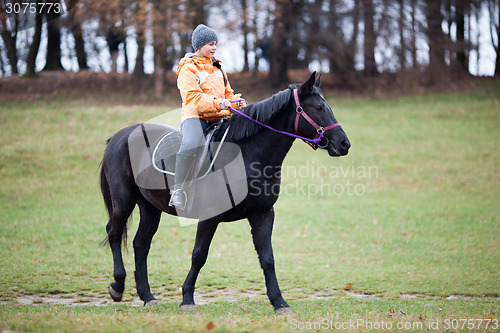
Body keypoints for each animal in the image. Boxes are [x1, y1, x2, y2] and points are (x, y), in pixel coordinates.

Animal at [99, 72, 350, 312]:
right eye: (318, 108)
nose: (344, 143)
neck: (247, 157)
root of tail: (120, 136)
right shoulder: (209, 217)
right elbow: (199, 255)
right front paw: (187, 299)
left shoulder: (263, 214)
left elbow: (267, 259)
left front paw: (279, 302)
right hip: (123, 201)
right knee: (114, 232)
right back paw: (118, 286)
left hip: (150, 208)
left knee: (140, 244)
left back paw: (147, 296)